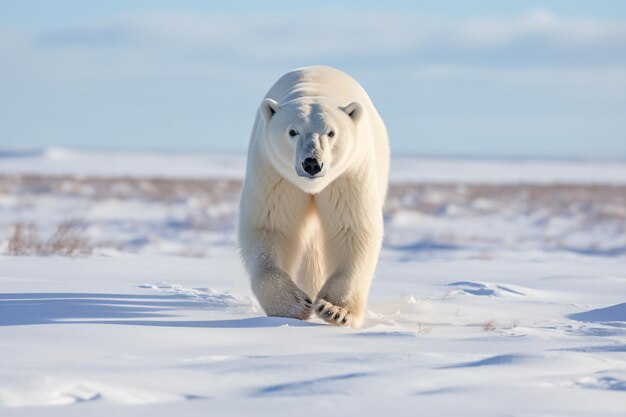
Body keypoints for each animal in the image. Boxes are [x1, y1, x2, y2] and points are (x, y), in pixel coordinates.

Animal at [238, 65, 388, 326]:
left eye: (330, 132)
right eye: (293, 131)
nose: (312, 164)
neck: (314, 88)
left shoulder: (347, 176)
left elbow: (351, 228)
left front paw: (335, 310)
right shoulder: (275, 174)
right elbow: (271, 226)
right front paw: (295, 304)